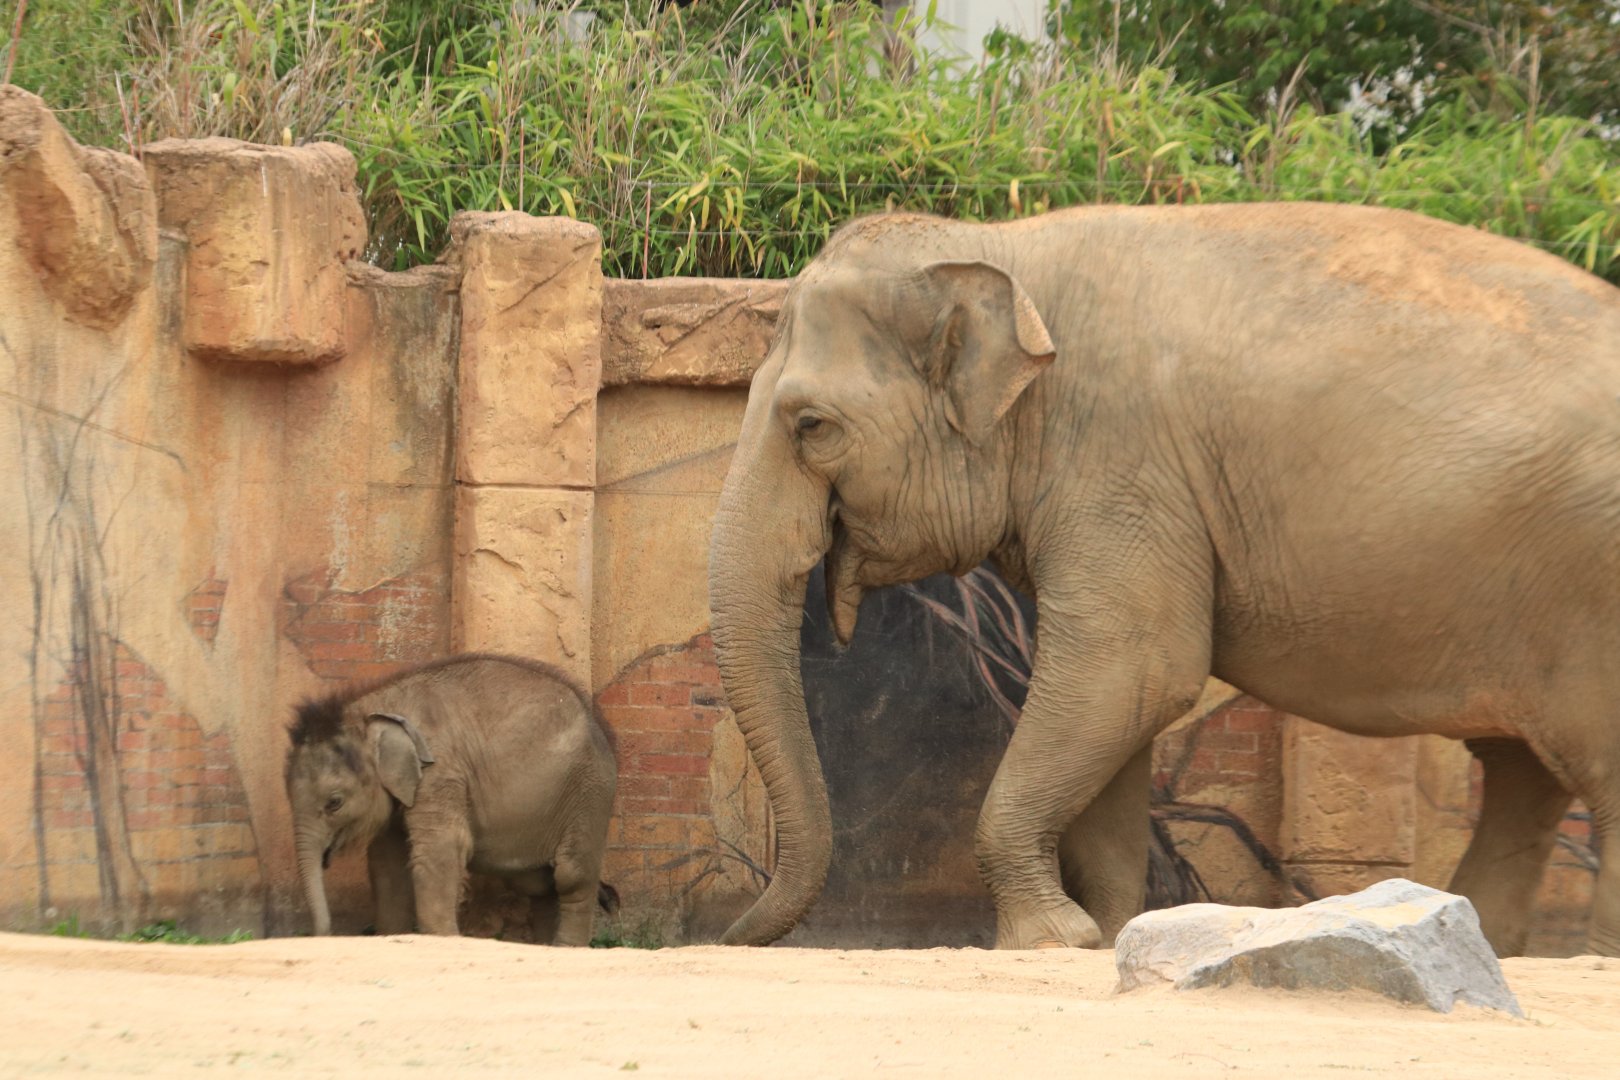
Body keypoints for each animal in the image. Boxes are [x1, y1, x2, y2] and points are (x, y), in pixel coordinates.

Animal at [284, 653, 618, 944]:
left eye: (334, 802)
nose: (323, 934)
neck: (371, 707)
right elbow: (386, 862)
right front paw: (393, 937)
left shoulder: (441, 771)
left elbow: (442, 848)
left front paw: (441, 938)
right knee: (539, 884)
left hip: (590, 792)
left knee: (571, 876)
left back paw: (566, 947)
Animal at [706, 201, 1620, 956]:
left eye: (811, 425)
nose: (729, 935)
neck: (1003, 250)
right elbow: (1118, 708)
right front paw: (1108, 932)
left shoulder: (1119, 460)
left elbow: (1134, 670)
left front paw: (1053, 940)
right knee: (1521, 774)